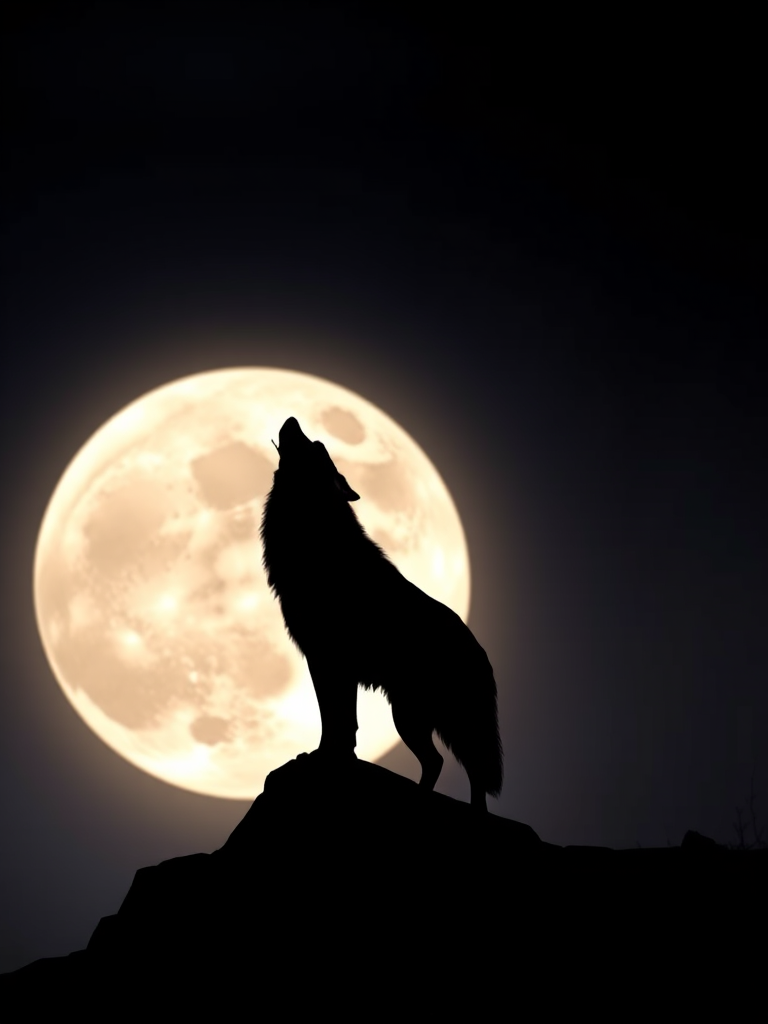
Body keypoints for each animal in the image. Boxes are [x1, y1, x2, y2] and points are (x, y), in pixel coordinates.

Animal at [261, 417, 503, 809]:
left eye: (315, 446)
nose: (293, 420)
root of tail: (481, 653)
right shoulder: (331, 663)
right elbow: (343, 720)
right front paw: (338, 756)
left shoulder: (328, 660)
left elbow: (334, 718)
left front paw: (325, 756)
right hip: (413, 715)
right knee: (443, 764)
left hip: (420, 717)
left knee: (463, 766)